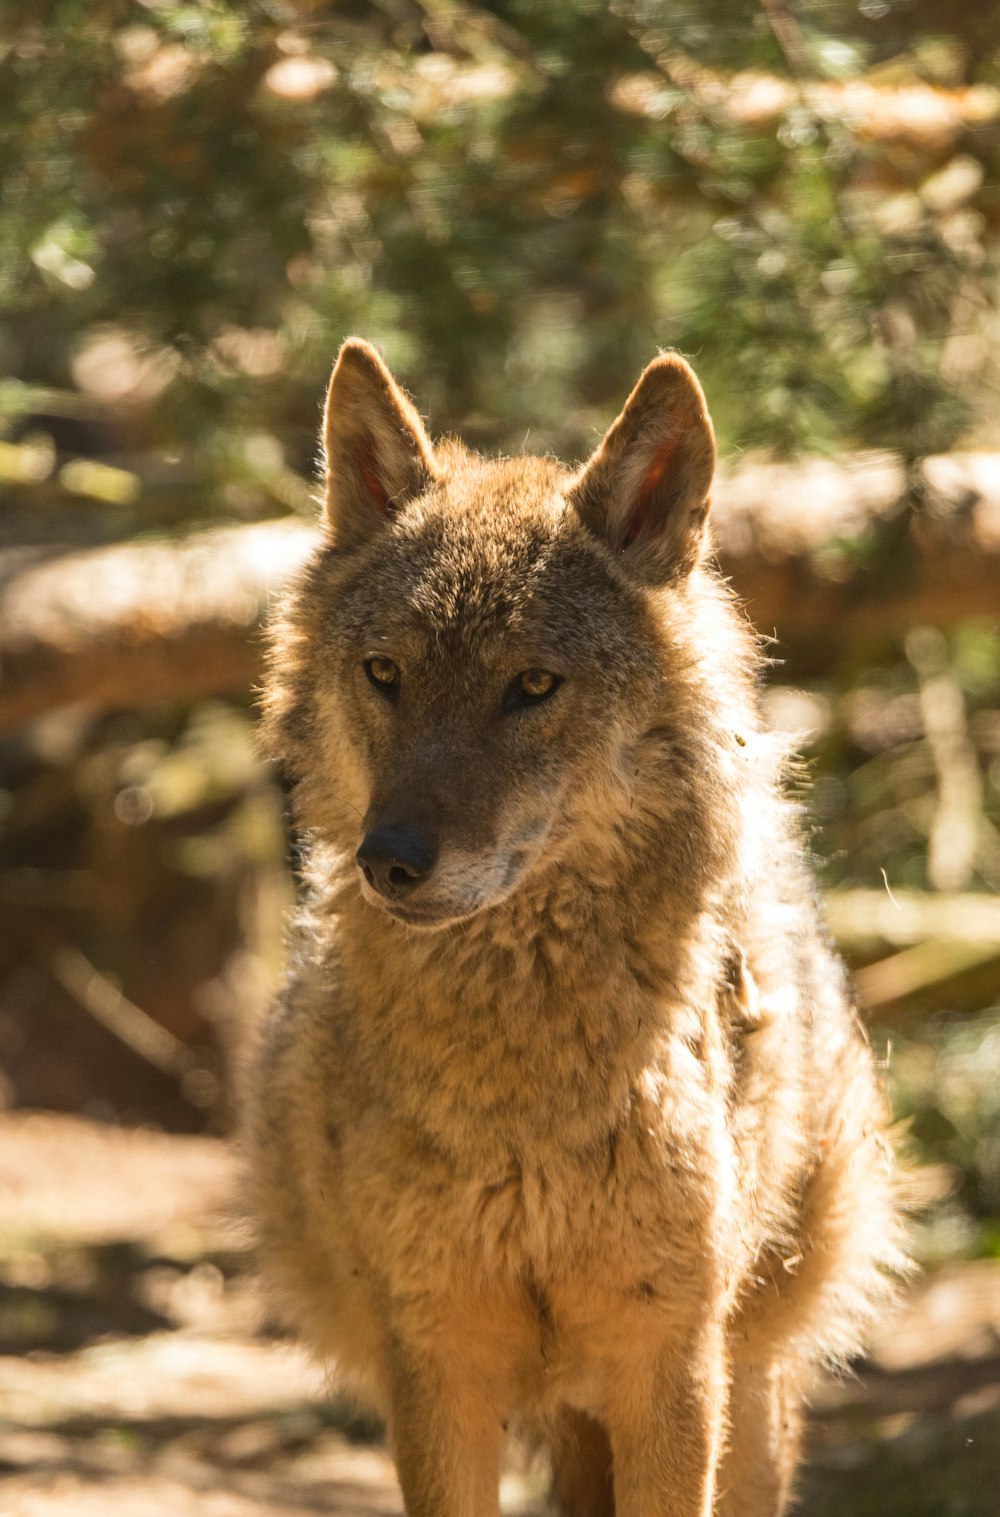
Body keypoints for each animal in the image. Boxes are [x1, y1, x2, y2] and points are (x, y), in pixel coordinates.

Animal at [245, 344, 904, 1517]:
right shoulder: (436, 1362)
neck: (524, 1103)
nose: (389, 859)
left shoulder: (668, 1364)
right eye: (385, 673)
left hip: (748, 1390)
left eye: (533, 685)